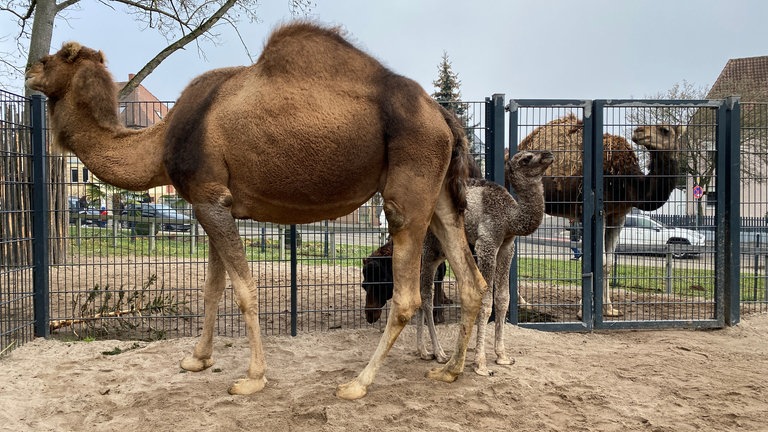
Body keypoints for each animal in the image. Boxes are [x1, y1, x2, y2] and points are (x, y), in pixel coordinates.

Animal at [27, 21, 486, 398]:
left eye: (61, 55)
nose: (30, 70)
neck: (160, 140)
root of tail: (444, 116)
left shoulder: (210, 199)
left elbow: (245, 290)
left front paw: (252, 378)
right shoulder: (212, 204)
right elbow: (212, 288)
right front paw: (197, 359)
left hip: (406, 192)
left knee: (408, 296)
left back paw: (358, 383)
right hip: (441, 196)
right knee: (471, 280)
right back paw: (450, 370)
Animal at [516, 114, 684, 318]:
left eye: (665, 130)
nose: (638, 131)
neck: (628, 181)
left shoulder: (618, 216)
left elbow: (608, 263)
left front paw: (609, 309)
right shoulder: (594, 213)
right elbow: (597, 260)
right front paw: (584, 310)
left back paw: (522, 303)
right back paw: (520, 303)